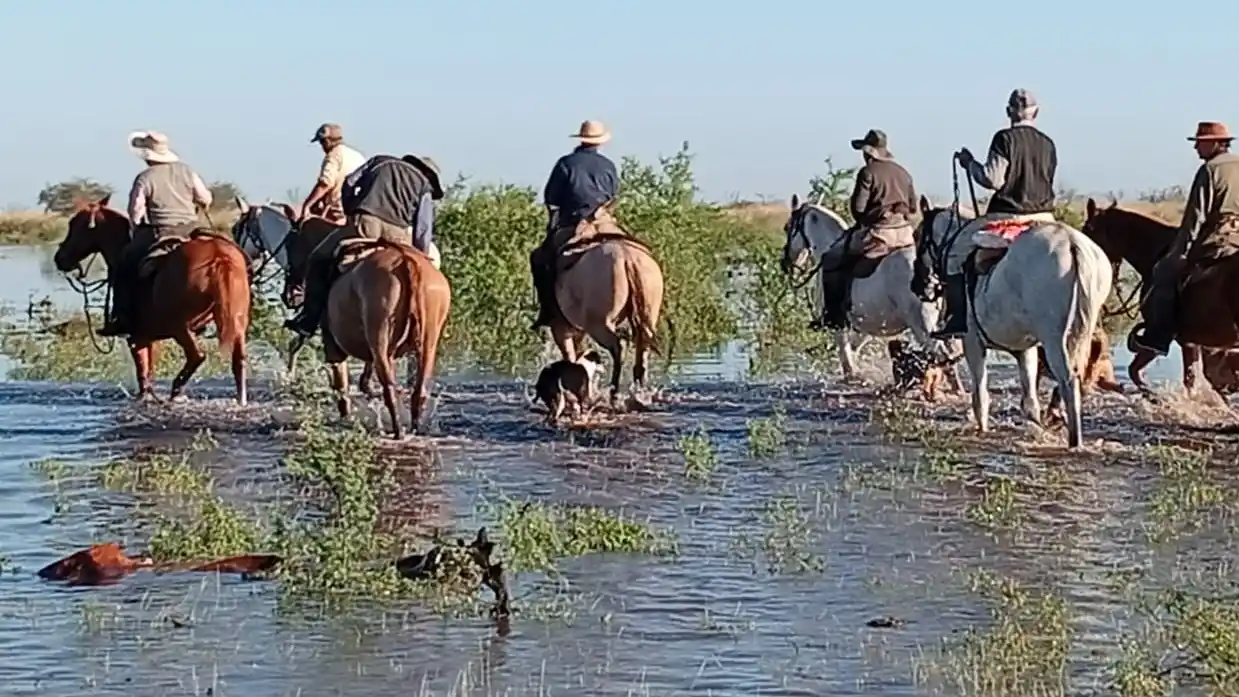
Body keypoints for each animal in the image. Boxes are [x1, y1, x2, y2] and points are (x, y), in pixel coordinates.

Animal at [52, 195, 251, 404]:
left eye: (75, 224)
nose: (60, 258)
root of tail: (218, 256)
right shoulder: (150, 337)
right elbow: (150, 370)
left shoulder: (136, 337)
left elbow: (143, 373)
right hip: (236, 322)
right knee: (238, 361)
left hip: (180, 326)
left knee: (197, 356)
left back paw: (176, 391)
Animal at [282, 210, 451, 439]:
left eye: (289, 245)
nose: (289, 296)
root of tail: (406, 260)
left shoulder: (331, 340)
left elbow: (340, 382)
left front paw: (346, 416)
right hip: (427, 343)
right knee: (419, 388)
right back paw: (414, 427)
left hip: (380, 337)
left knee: (388, 387)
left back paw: (398, 431)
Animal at [547, 222, 667, 405]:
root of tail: (628, 258)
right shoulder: (577, 331)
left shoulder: (562, 329)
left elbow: (570, 356)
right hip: (647, 318)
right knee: (641, 353)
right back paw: (638, 393)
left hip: (599, 324)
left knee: (619, 346)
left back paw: (614, 393)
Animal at [780, 194, 964, 393]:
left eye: (787, 227)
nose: (786, 264)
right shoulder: (865, 325)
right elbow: (853, 351)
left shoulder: (839, 325)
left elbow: (846, 357)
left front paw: (852, 377)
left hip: (923, 327)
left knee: (943, 355)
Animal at [913, 196, 1113, 449]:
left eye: (917, 235)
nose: (917, 286)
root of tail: (1071, 243)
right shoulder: (1025, 349)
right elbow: (1030, 402)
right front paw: (1035, 430)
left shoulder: (972, 343)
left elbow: (980, 397)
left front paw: (982, 430)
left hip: (1054, 339)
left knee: (1068, 382)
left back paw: (1074, 441)